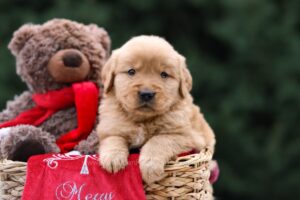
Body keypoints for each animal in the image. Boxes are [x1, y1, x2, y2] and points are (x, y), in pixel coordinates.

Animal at [96, 35, 216, 184]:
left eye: (164, 74)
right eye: (131, 71)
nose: (146, 93)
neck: (143, 120)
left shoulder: (187, 136)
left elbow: (159, 140)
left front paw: (150, 166)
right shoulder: (109, 127)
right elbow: (114, 138)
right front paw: (113, 158)